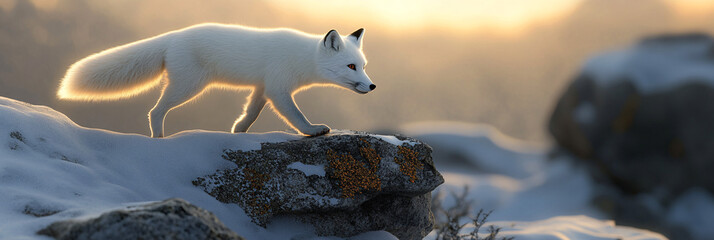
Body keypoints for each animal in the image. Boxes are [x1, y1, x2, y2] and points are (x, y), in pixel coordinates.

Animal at [58, 23, 376, 139]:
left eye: (363, 66)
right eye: (350, 66)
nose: (372, 86)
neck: (303, 58)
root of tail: (173, 35)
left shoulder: (262, 88)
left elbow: (250, 113)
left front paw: (238, 132)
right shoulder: (278, 89)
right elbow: (296, 116)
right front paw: (313, 130)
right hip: (188, 87)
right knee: (155, 111)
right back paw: (158, 138)